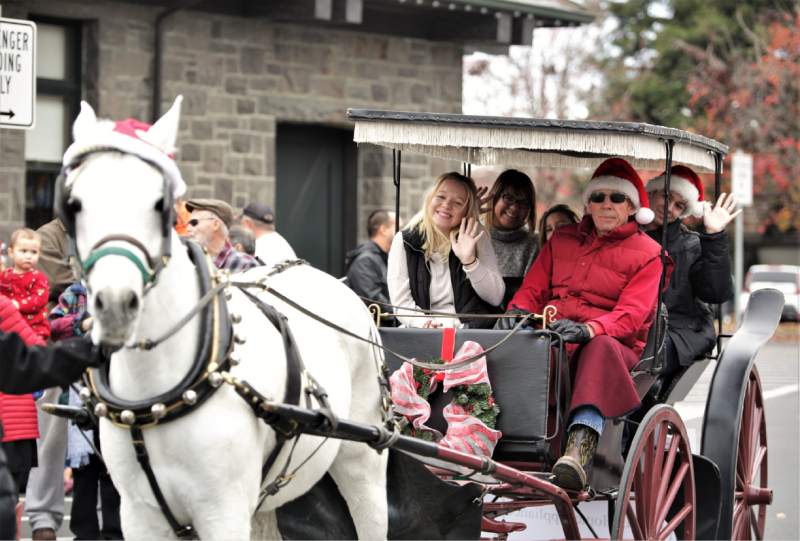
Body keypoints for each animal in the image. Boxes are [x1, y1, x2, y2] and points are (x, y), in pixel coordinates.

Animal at [62, 98, 388, 540]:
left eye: (160, 204)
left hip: (361, 457)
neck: (162, 392)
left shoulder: (222, 510)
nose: (114, 303)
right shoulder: (139, 514)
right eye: (74, 203)